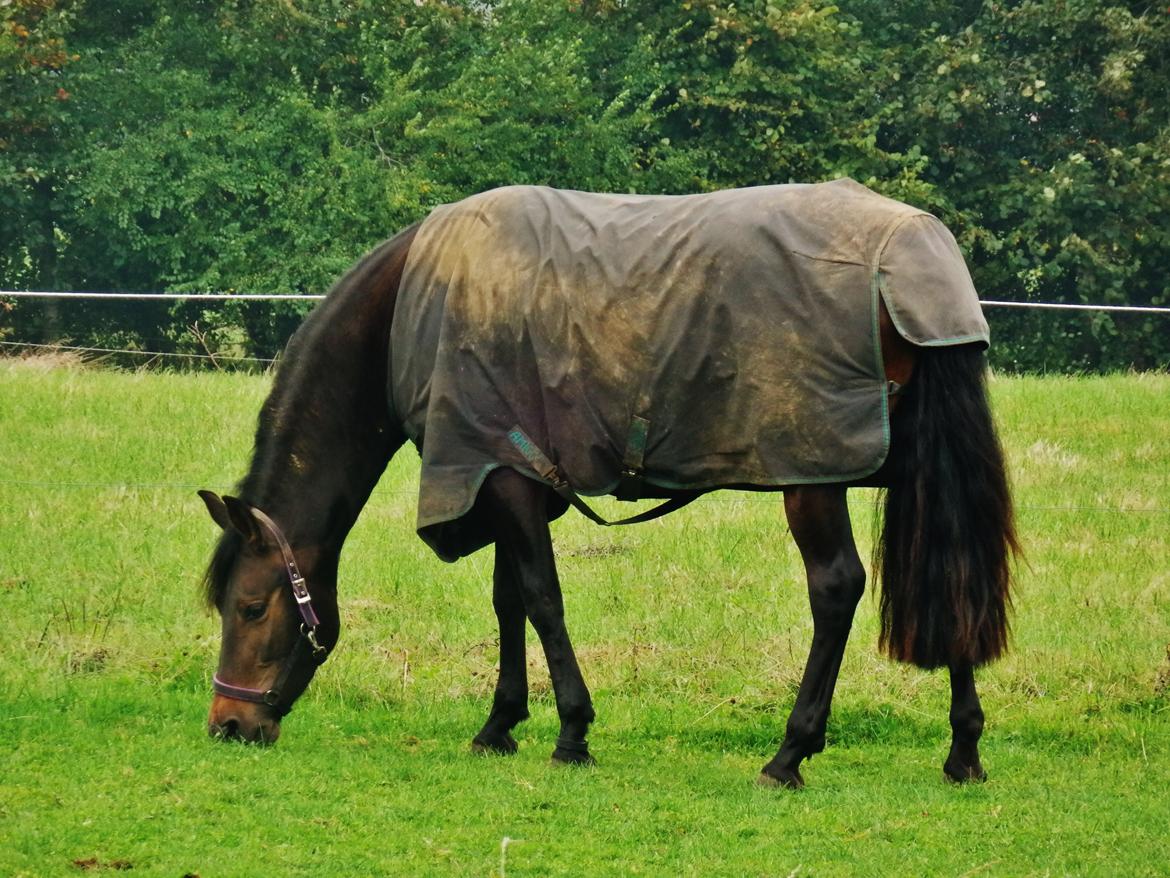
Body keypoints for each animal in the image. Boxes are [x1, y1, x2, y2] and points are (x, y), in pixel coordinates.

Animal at [198, 182, 1015, 786]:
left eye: (250, 607)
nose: (229, 726)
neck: (413, 307)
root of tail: (912, 254)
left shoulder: (497, 474)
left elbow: (540, 599)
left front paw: (571, 732)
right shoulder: (510, 478)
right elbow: (509, 600)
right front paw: (500, 724)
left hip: (810, 476)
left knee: (837, 587)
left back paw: (789, 753)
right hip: (919, 471)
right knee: (951, 574)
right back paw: (964, 751)